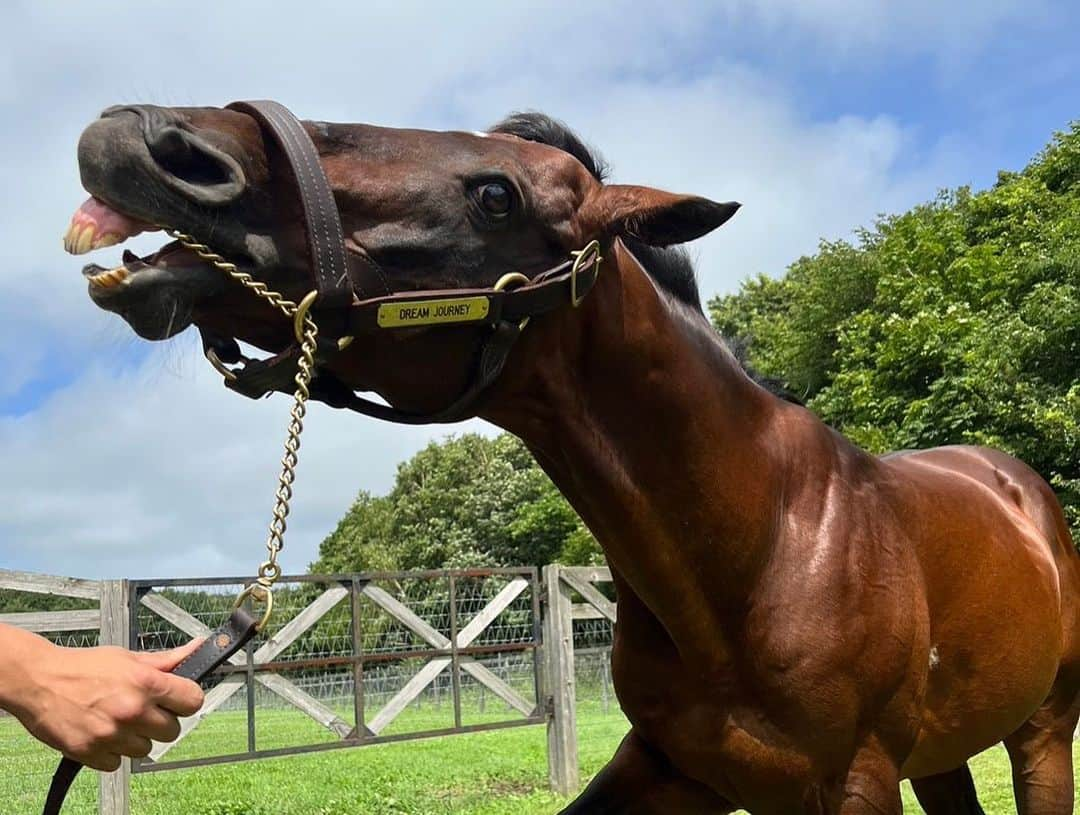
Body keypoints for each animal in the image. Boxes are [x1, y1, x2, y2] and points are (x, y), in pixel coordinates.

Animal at [67, 105, 1080, 811]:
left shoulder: (858, 779)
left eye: (495, 195)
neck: (763, 546)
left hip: (1042, 732)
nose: (149, 139)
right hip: (944, 755)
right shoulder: (671, 767)